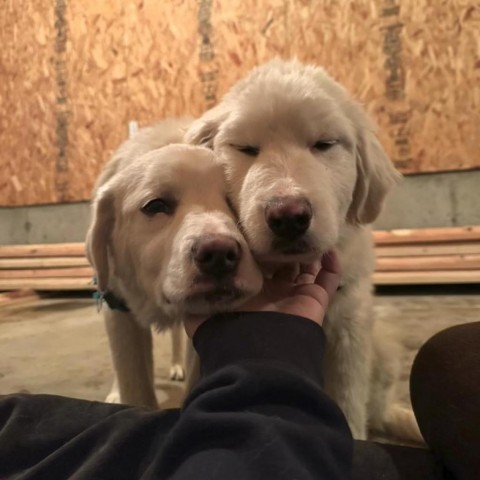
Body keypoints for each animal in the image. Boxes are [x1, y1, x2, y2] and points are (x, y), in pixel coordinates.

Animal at [184, 58, 420, 440]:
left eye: (324, 144)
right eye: (246, 148)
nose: (289, 217)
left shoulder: (350, 330)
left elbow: (349, 403)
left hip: (381, 346)